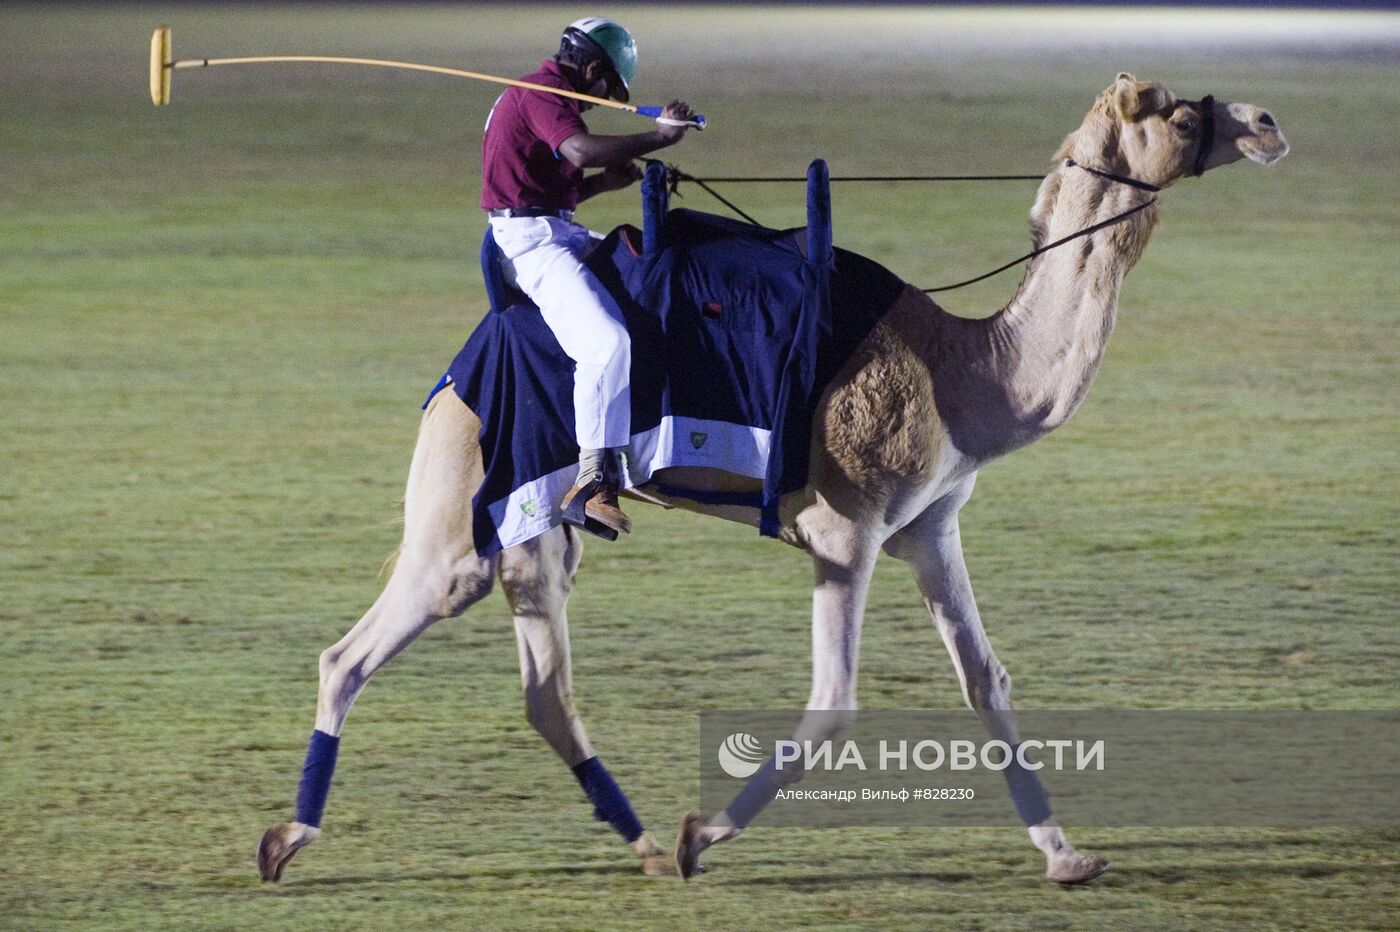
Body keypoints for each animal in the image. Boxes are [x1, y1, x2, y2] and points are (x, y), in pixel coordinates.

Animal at [254, 76, 1288, 884]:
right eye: (1177, 113)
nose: (1267, 121)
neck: (969, 374)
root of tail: (456, 374)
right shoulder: (844, 533)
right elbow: (834, 702)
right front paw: (701, 835)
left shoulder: (929, 528)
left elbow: (986, 679)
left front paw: (1068, 856)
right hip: (462, 513)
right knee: (353, 653)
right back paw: (286, 839)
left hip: (538, 528)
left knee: (546, 687)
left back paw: (639, 846)